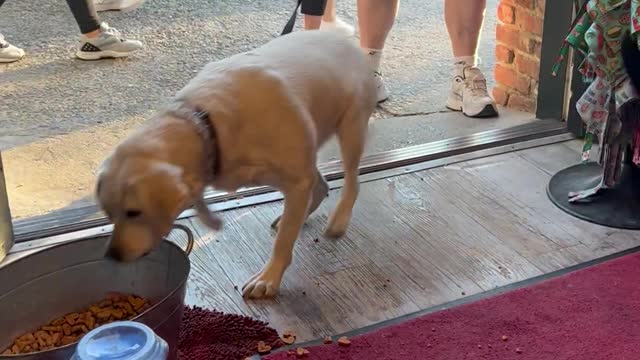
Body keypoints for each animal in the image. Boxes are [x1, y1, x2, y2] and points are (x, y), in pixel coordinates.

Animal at [97, 31, 378, 300]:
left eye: (133, 212)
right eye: (109, 214)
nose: (112, 255)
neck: (206, 123)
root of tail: (345, 38)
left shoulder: (297, 181)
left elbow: (284, 241)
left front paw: (269, 278)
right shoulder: (292, 177)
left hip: (351, 130)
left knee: (352, 182)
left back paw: (339, 219)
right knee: (321, 185)